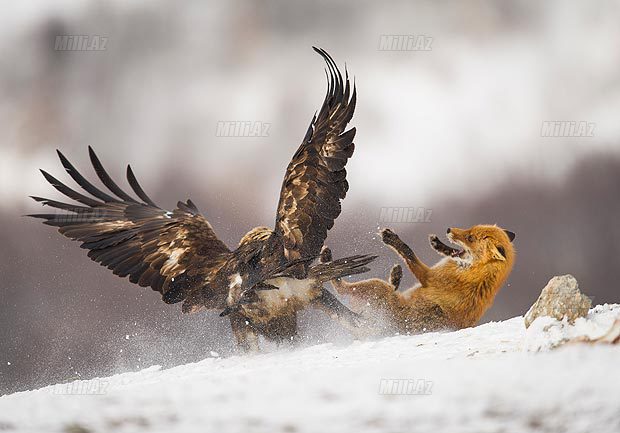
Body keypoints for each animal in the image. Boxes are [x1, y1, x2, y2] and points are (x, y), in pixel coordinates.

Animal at [322, 224, 516, 336]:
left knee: (340, 288)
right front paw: (438, 244)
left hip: (375, 286)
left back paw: (328, 261)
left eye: (470, 238)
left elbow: (409, 252)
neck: (475, 273)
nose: (448, 230)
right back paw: (396, 276)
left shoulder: (428, 277)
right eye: (470, 229)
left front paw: (393, 240)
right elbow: (445, 253)